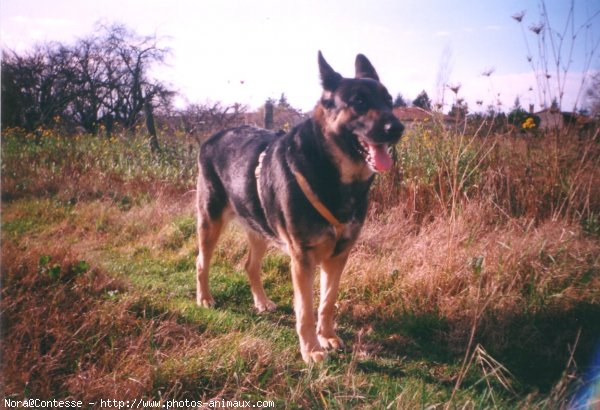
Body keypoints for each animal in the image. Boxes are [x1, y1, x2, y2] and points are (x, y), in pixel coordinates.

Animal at [197, 52, 404, 362]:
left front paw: (326, 337)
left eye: (389, 101)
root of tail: (214, 136)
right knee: (201, 262)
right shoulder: (302, 259)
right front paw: (311, 350)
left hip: (259, 229)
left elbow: (327, 303)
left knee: (250, 265)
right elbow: (305, 310)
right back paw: (205, 298)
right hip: (211, 222)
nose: (398, 128)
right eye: (359, 102)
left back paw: (261, 302)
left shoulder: (337, 257)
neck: (333, 176)